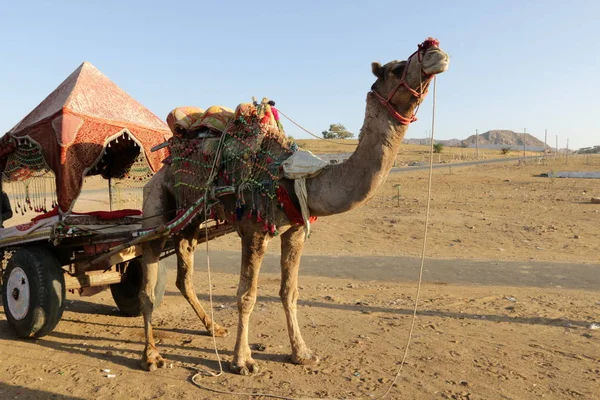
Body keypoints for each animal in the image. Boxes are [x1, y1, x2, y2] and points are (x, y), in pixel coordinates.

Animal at [138, 38, 450, 376]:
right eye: (397, 68)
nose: (437, 54)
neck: (293, 176)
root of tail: (163, 163)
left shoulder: (296, 229)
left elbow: (289, 292)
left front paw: (302, 353)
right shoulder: (254, 228)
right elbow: (246, 295)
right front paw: (242, 361)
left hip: (191, 219)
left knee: (184, 267)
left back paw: (213, 327)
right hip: (156, 205)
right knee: (148, 278)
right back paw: (152, 355)